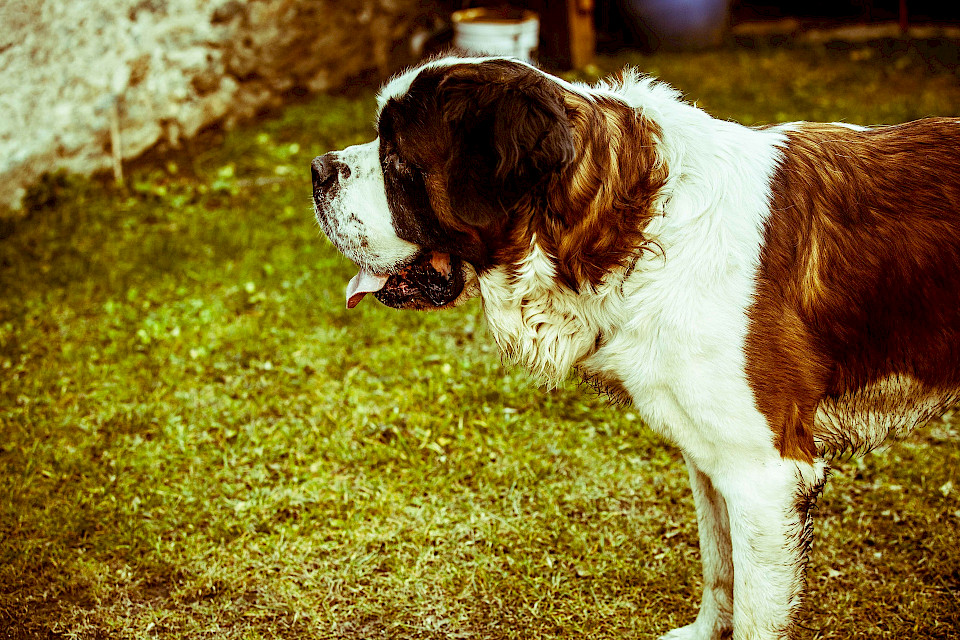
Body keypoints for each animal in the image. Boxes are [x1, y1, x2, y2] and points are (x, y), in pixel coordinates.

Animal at [310, 56, 960, 640]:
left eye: (397, 160)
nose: (317, 170)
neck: (638, 227)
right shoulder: (712, 458)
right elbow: (719, 567)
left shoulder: (766, 475)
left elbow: (755, 612)